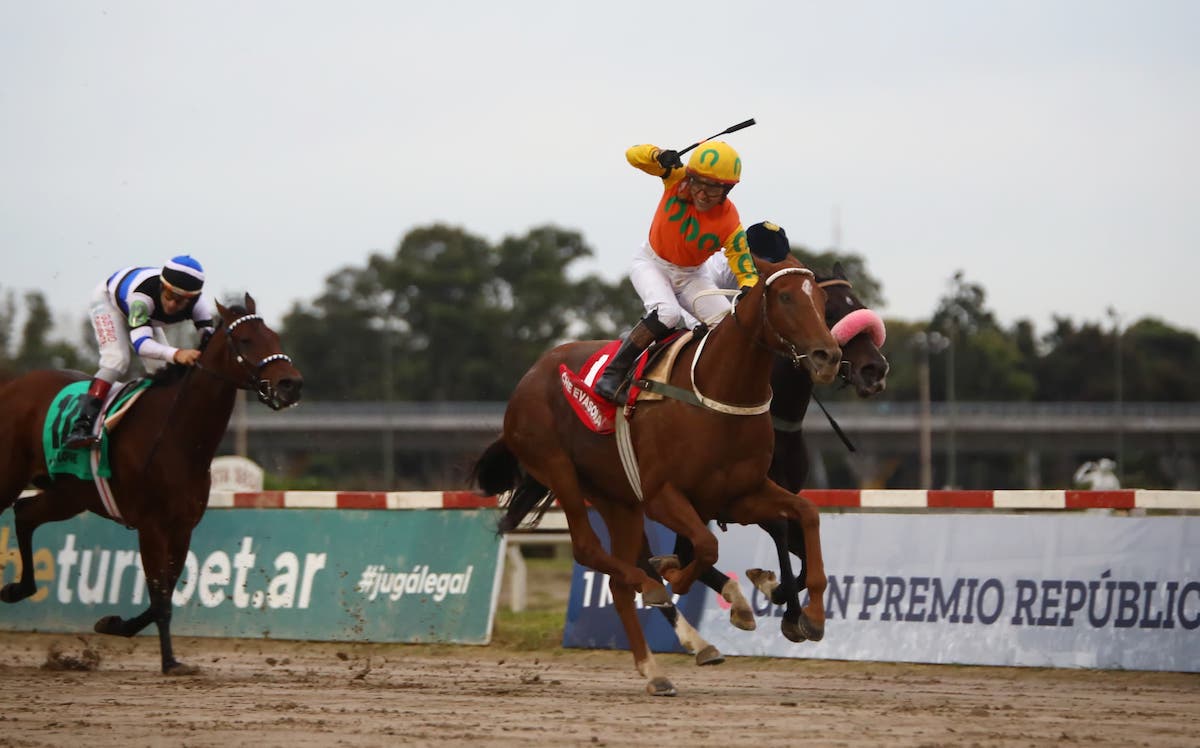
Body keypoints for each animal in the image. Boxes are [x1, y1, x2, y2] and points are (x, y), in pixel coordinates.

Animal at [0, 295, 302, 677]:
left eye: (275, 336)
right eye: (246, 340)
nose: (292, 384)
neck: (177, 437)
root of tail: (11, 386)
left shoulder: (182, 527)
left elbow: (165, 593)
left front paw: (115, 624)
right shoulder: (151, 525)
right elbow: (160, 597)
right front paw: (170, 661)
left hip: (69, 496)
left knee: (25, 513)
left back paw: (16, 589)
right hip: (12, 477)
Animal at [472, 253, 840, 696]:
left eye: (821, 299)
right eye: (785, 297)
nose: (828, 355)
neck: (718, 393)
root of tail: (528, 378)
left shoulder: (740, 494)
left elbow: (806, 514)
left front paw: (810, 616)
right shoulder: (663, 495)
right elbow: (705, 547)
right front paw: (686, 581)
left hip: (616, 499)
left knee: (618, 580)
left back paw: (655, 669)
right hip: (560, 471)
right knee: (589, 550)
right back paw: (656, 594)